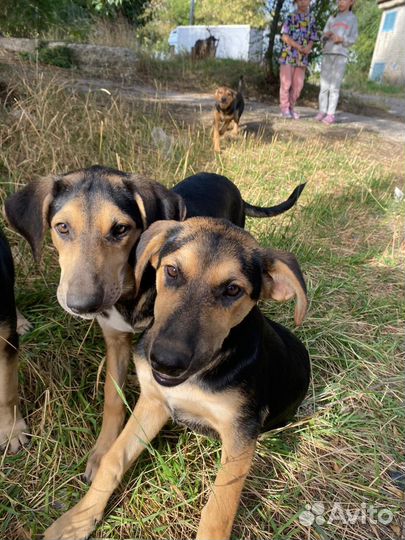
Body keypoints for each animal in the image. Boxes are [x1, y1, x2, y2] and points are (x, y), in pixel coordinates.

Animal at [5, 166, 304, 480]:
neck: (134, 290)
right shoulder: (116, 340)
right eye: (62, 227)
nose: (83, 304)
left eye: (120, 229)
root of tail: (220, 176)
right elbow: (112, 398)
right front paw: (101, 453)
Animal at [43, 217, 310, 540]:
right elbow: (112, 460)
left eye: (233, 289)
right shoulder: (154, 402)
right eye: (171, 271)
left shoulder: (240, 434)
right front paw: (77, 520)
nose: (166, 362)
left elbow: (218, 510)